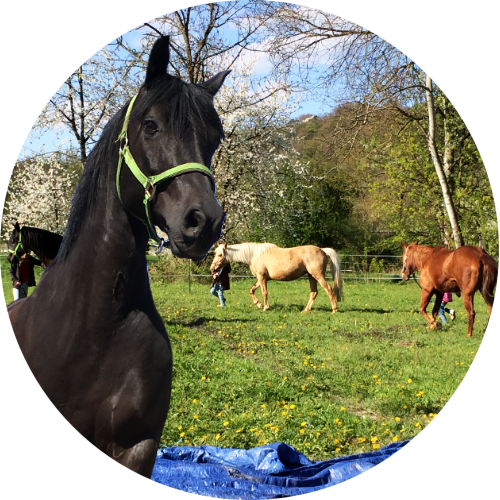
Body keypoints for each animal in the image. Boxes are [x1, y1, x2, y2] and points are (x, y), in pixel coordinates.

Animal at [0, 36, 227, 500]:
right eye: (151, 125)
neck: (95, 328)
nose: (203, 221)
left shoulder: (134, 454)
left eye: (216, 137)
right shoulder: (51, 468)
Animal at [209, 242, 342, 312]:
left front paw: (265, 307)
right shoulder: (260, 279)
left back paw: (334, 309)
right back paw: (306, 310)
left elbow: (264, 293)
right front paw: (259, 304)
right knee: (314, 293)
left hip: (318, 276)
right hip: (311, 277)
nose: (212, 269)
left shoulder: (262, 277)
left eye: (220, 254)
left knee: (328, 289)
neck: (253, 255)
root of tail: (322, 250)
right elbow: (252, 290)